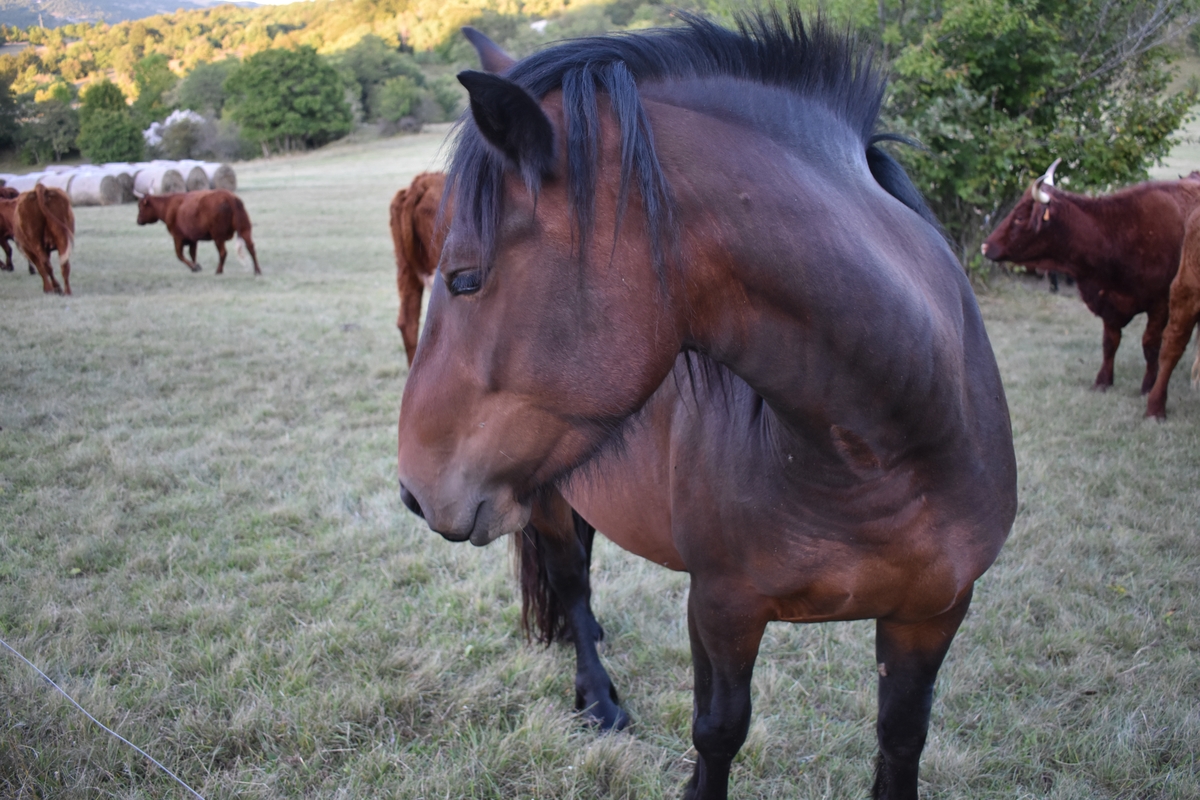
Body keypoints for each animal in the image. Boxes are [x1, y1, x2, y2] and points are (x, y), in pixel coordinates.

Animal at [400, 14, 1012, 800]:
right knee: (571, 582)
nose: (414, 489)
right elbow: (719, 732)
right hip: (545, 499)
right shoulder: (722, 607)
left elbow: (902, 738)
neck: (887, 454)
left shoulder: (933, 613)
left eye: (465, 278)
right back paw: (597, 699)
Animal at [984, 160, 1200, 393]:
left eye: (1020, 218)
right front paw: (1103, 380)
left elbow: (1150, 344)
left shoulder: (1160, 305)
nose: (985, 246)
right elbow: (1110, 342)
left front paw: (1149, 385)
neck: (1116, 234)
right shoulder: (1107, 301)